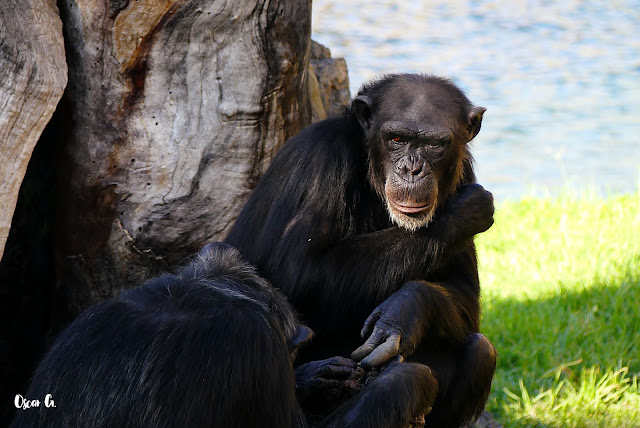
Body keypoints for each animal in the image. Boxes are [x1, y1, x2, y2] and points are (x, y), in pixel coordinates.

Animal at [225, 72, 500, 424]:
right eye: (396, 139)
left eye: (434, 144)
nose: (412, 169)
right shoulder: (321, 160)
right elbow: (299, 272)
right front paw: (460, 214)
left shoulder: (464, 171)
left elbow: (465, 295)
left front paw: (406, 309)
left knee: (480, 350)